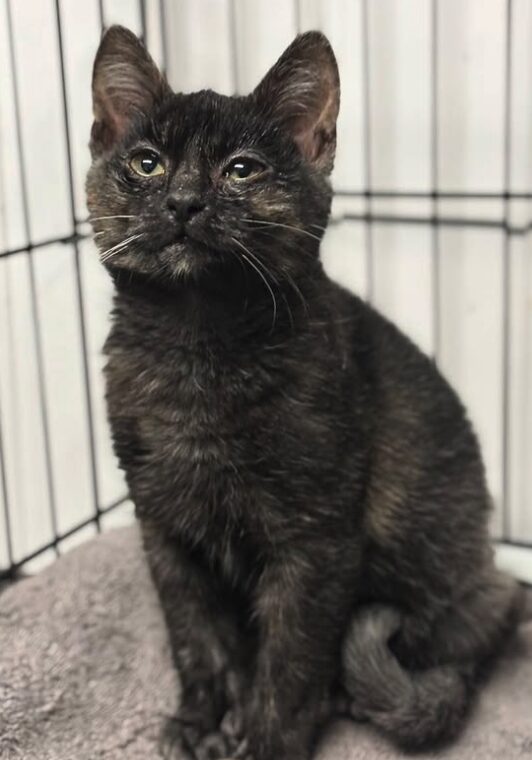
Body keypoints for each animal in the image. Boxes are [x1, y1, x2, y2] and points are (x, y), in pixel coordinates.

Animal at [87, 23, 524, 760]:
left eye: (241, 170)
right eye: (147, 163)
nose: (182, 201)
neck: (196, 350)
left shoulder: (314, 540)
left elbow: (290, 659)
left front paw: (265, 740)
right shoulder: (164, 529)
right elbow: (195, 637)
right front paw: (205, 720)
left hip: (442, 561)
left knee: (469, 637)